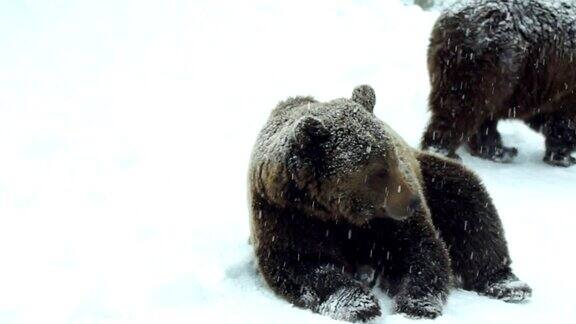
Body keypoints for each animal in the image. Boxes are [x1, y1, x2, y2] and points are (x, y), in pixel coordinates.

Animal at [248, 85, 532, 322]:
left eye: (394, 158)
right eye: (378, 171)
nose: (414, 201)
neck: (336, 211)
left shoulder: (386, 220)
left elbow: (419, 249)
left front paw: (417, 304)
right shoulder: (286, 213)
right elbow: (304, 263)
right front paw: (359, 304)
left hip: (435, 180)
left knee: (472, 211)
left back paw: (507, 284)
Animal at [420, 0, 576, 167]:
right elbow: (563, 120)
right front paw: (563, 157)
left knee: (480, 114)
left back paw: (500, 151)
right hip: (494, 64)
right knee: (461, 108)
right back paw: (444, 152)